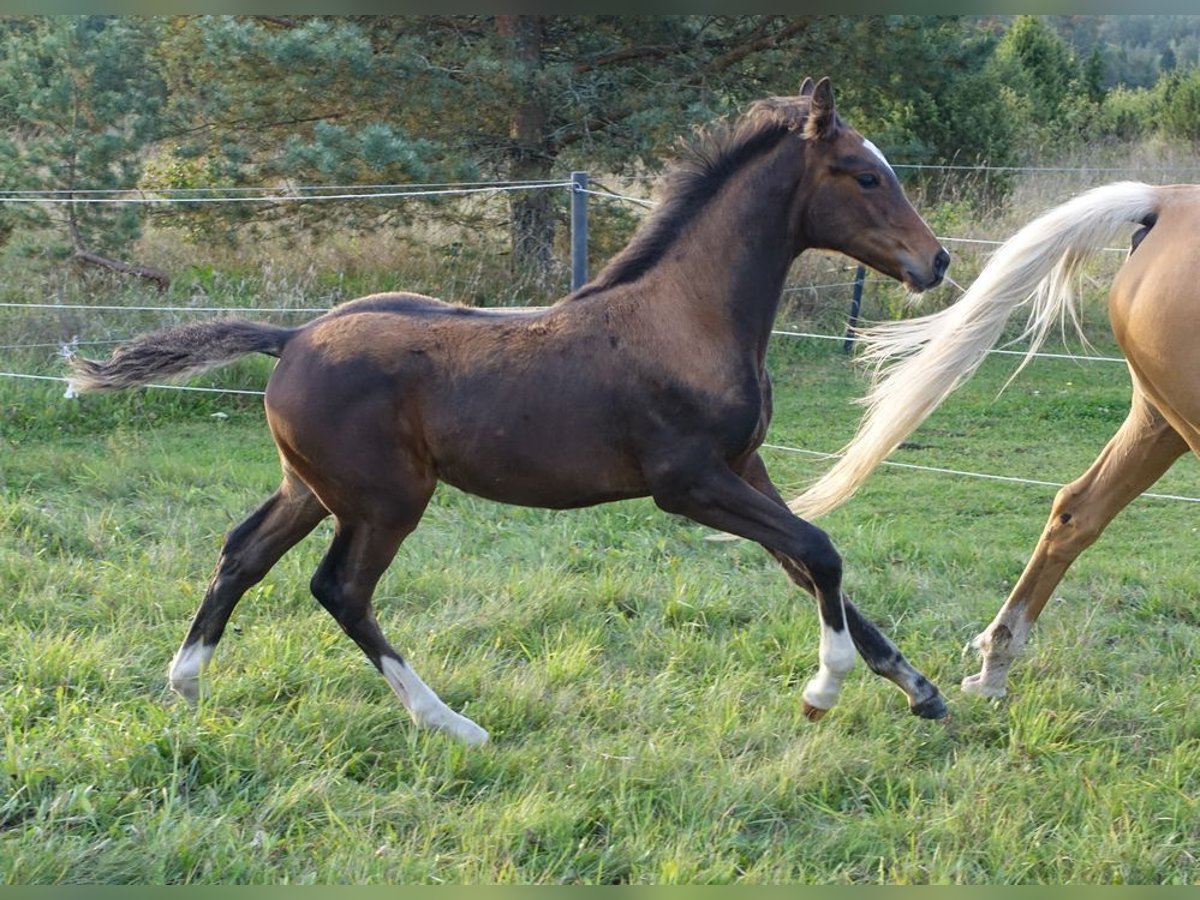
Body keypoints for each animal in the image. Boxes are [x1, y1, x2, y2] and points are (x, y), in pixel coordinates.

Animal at [68, 77, 945, 744]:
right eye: (864, 175)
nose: (934, 261)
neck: (686, 317)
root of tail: (291, 336)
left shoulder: (743, 466)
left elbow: (804, 561)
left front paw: (919, 687)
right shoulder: (687, 482)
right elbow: (819, 550)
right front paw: (824, 689)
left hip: (311, 488)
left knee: (242, 553)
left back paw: (186, 682)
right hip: (385, 501)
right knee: (339, 590)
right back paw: (450, 723)